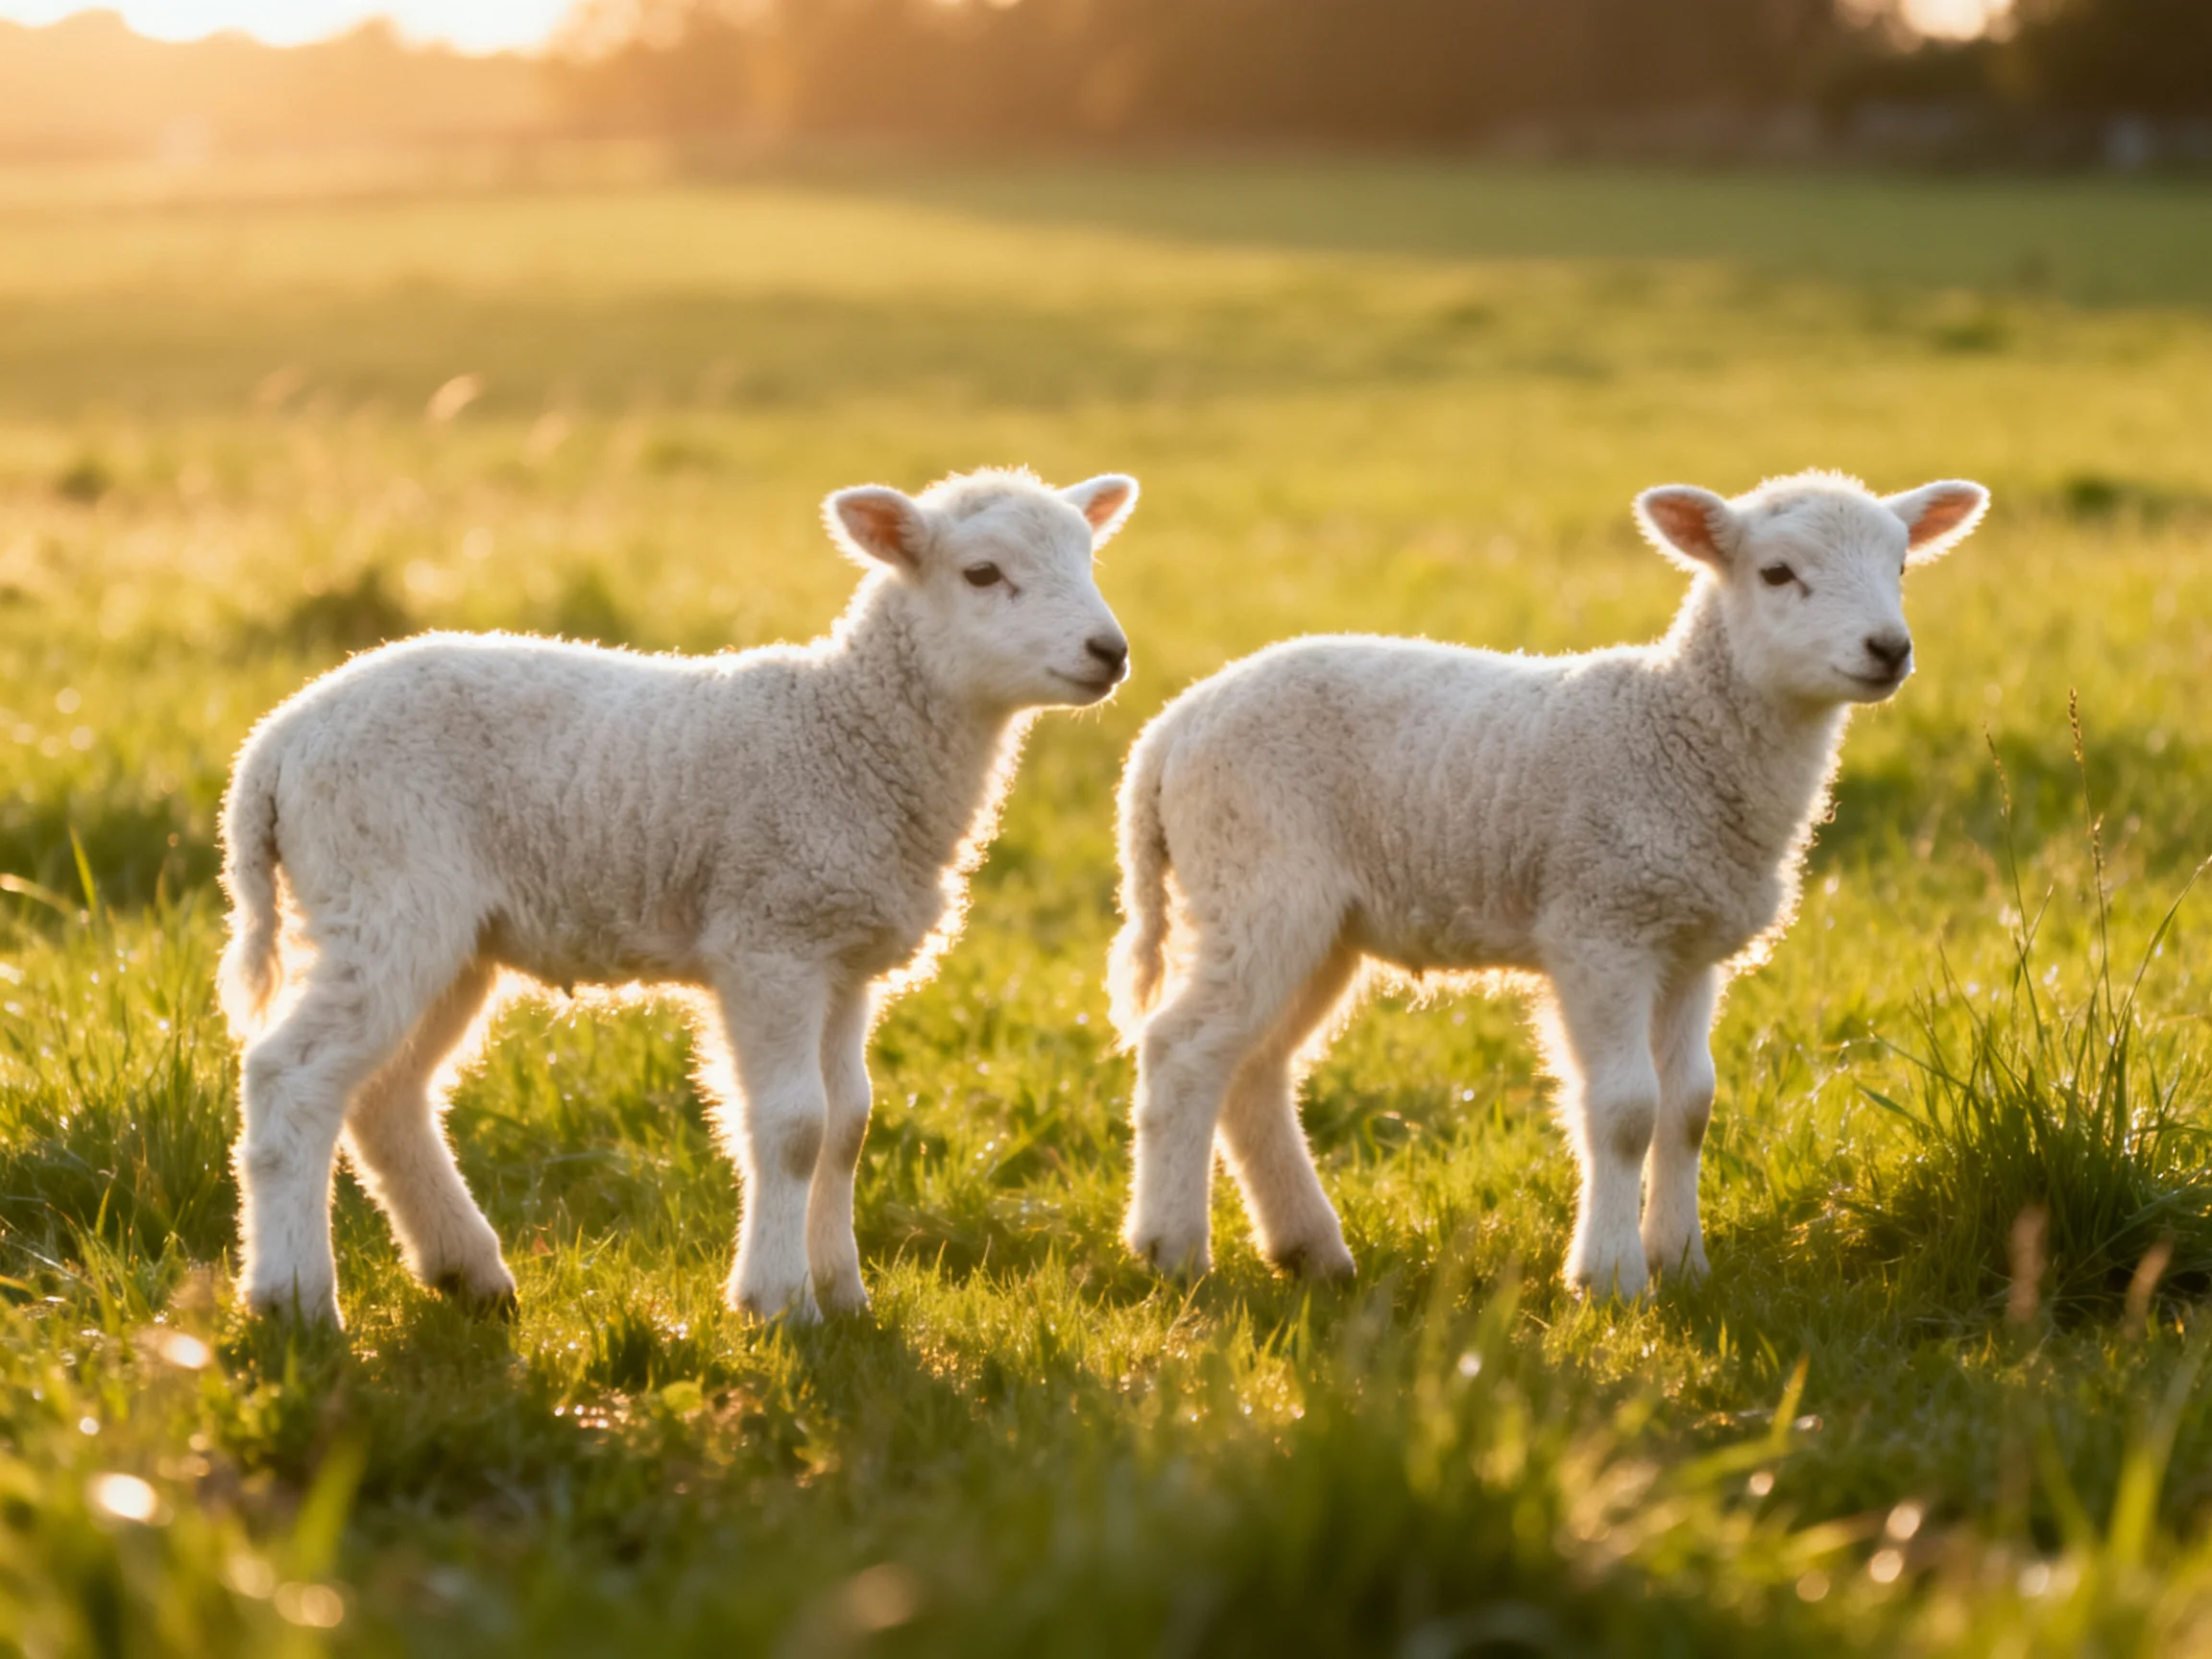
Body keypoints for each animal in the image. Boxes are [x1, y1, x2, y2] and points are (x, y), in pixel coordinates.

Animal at [218, 466, 1138, 1326]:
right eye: (982, 573)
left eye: (1090, 559)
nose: (1110, 652)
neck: (850, 732)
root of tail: (275, 743)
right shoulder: (770, 941)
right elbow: (796, 1127)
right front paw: (779, 1301)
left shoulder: (843, 956)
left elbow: (848, 1126)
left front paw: (845, 1295)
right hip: (382, 894)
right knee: (290, 1077)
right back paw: (292, 1297)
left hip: (447, 935)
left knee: (386, 1097)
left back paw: (467, 1272)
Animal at [1106, 471, 1987, 1298]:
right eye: (1776, 573)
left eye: (1901, 566)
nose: (1888, 648)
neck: (1682, 731)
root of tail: (1168, 731)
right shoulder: (1600, 927)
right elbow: (1628, 1109)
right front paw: (1612, 1277)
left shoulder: (1687, 943)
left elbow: (1690, 1107)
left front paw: (1683, 1263)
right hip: (1254, 880)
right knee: (1182, 1050)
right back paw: (1170, 1249)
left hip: (1316, 922)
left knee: (1252, 1068)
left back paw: (1309, 1250)